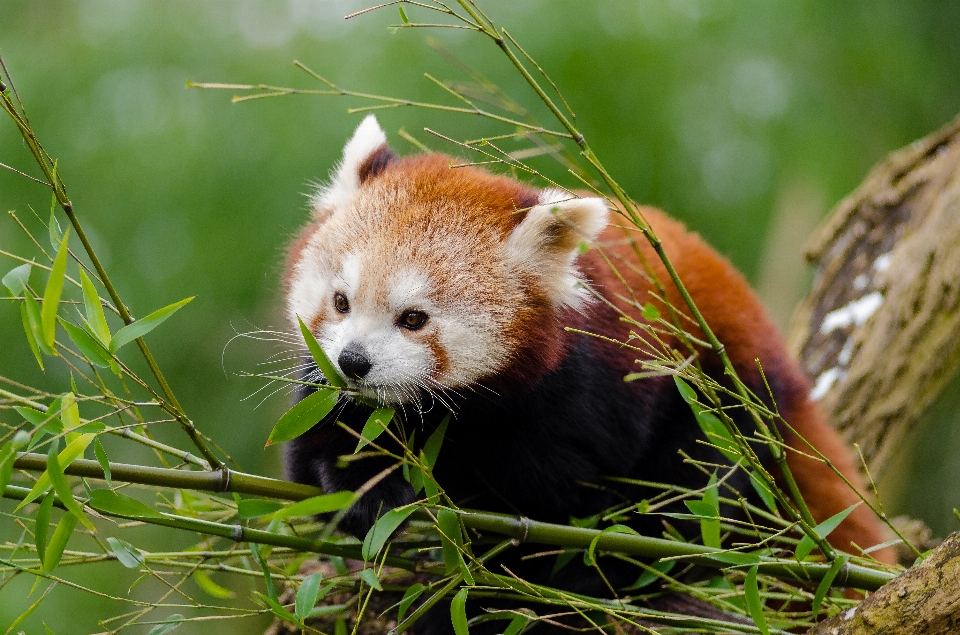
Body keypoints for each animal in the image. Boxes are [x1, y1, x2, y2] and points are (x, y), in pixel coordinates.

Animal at [282, 118, 896, 632]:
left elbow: (557, 509)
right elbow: (319, 450)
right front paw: (367, 492)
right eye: (340, 301)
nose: (353, 362)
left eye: (414, 318)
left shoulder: (589, 395)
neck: (457, 416)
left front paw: (488, 581)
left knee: (698, 494)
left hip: (722, 398)